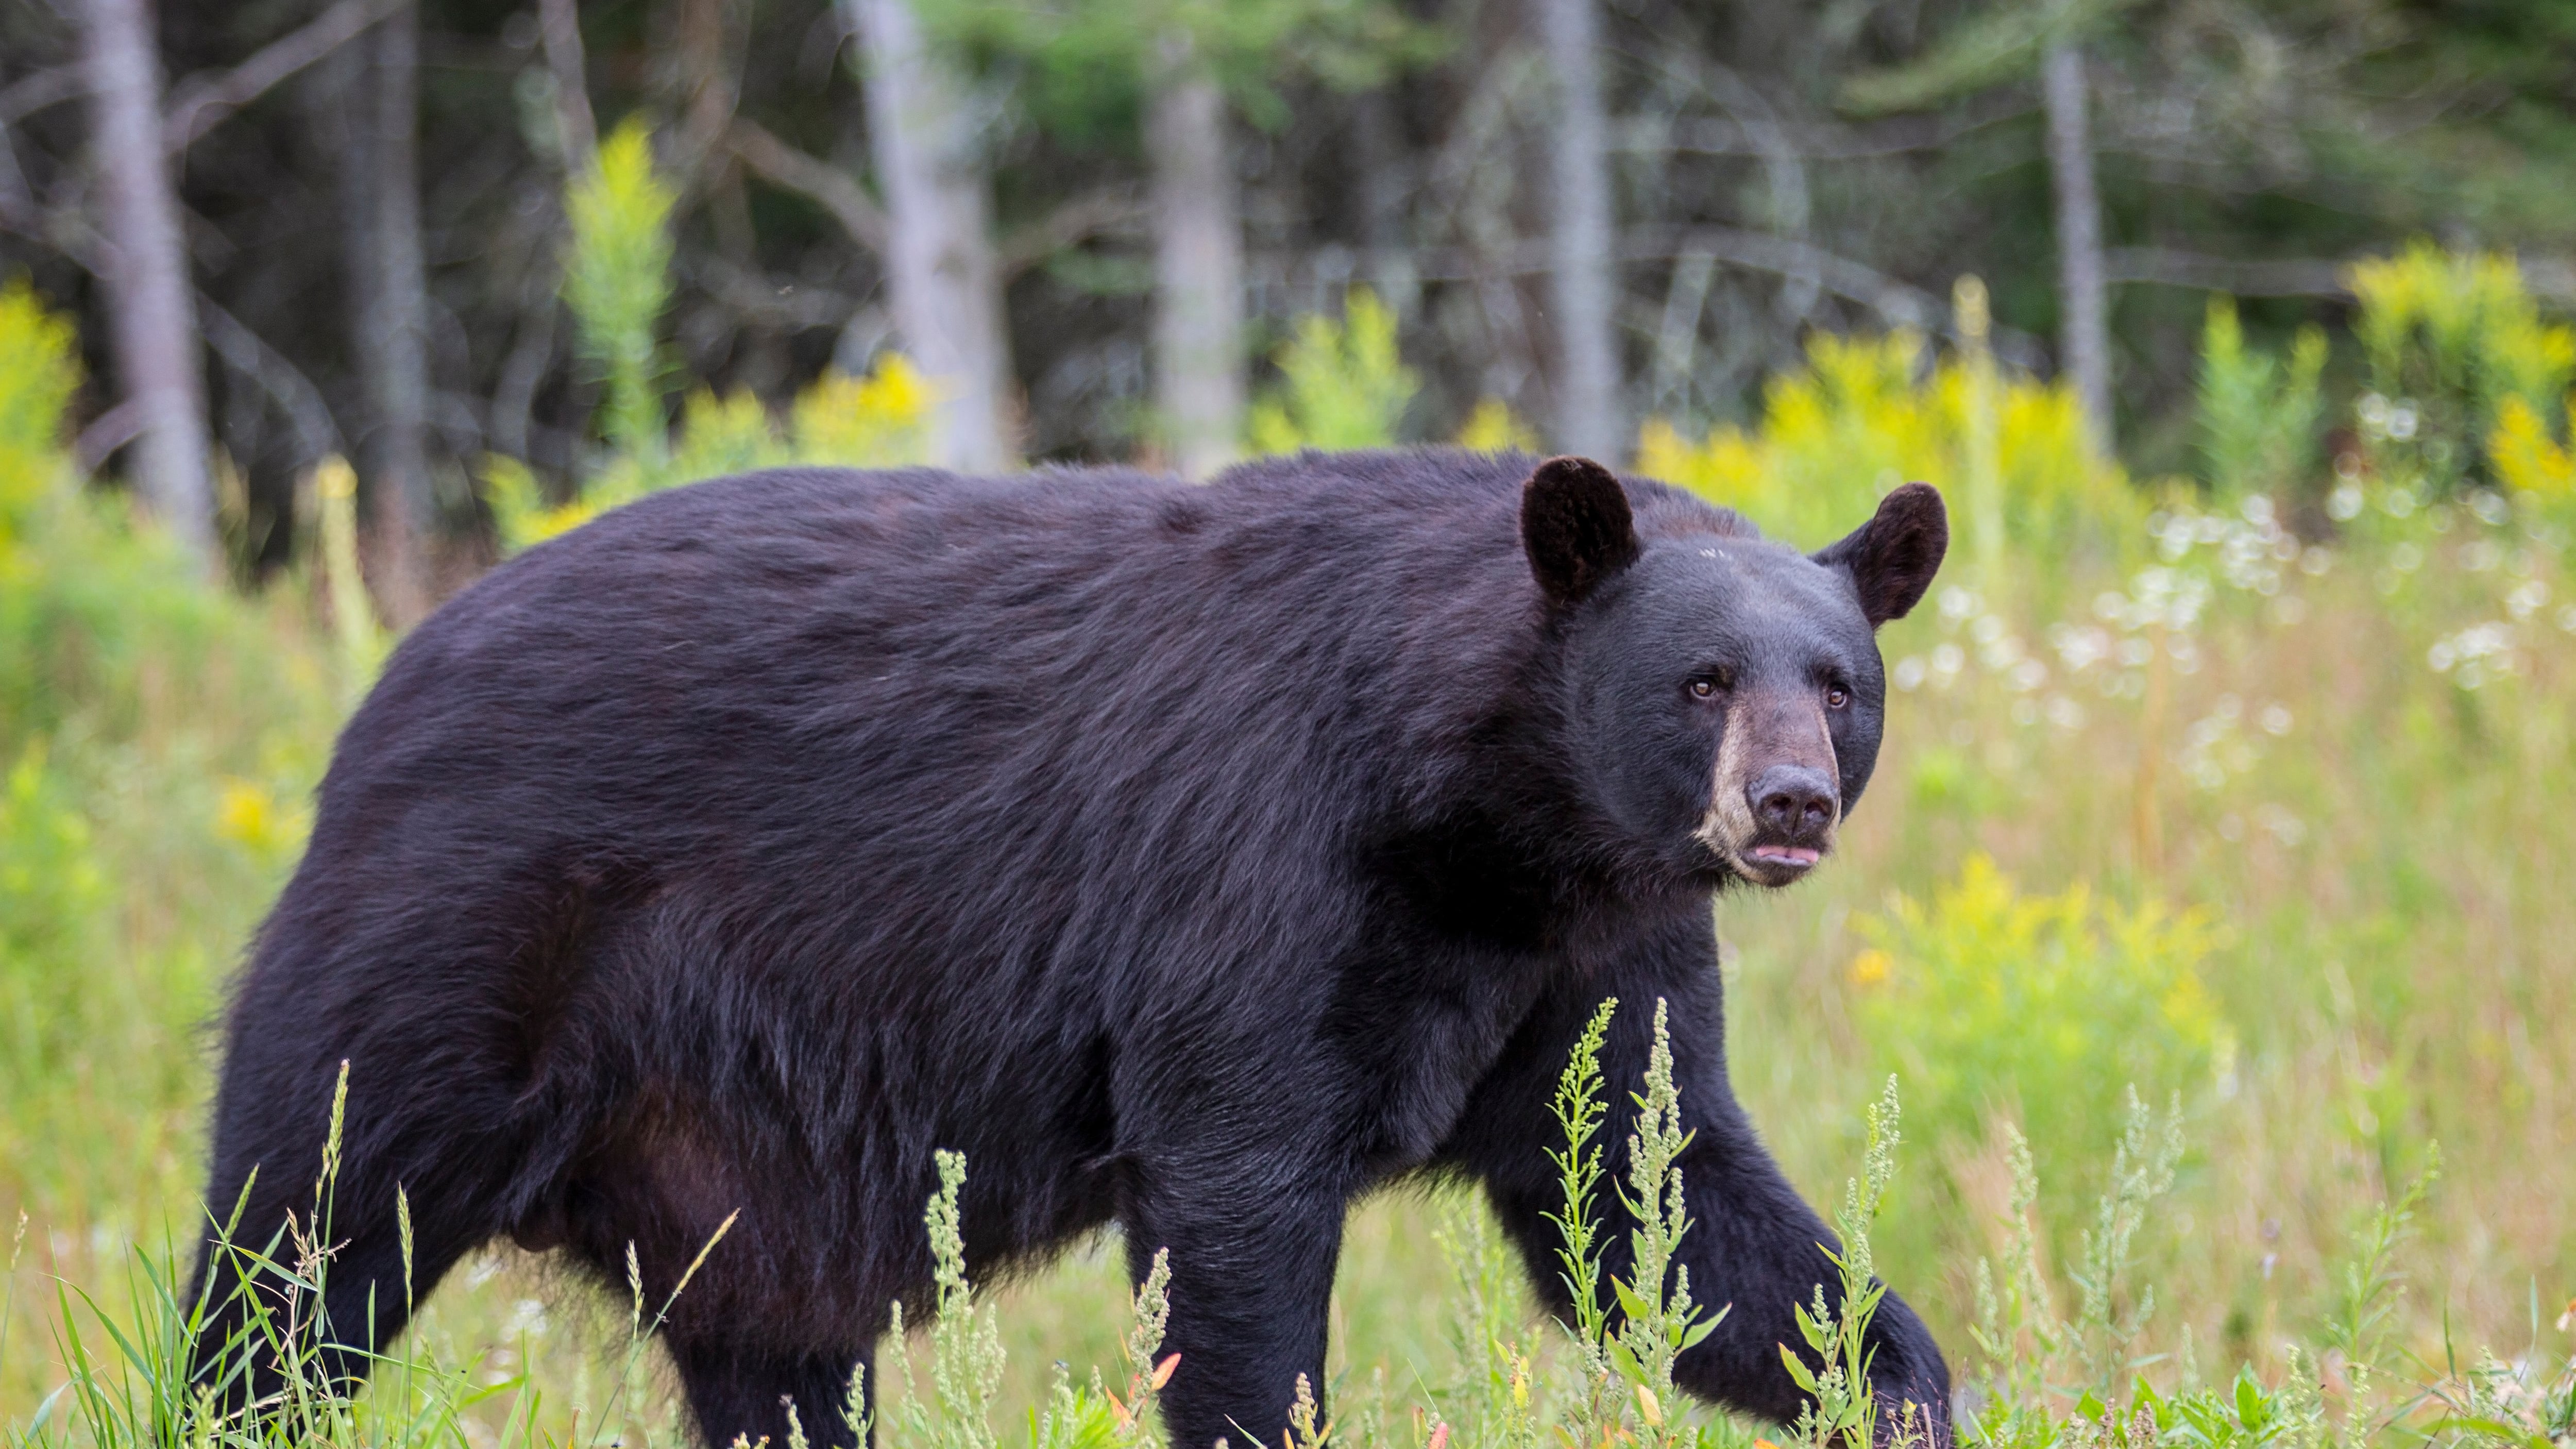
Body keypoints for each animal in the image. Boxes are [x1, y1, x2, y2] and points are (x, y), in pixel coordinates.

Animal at [187, 449, 1952, 1449]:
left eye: (1837, 681)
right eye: (1700, 679)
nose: (1789, 802)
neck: (1491, 827)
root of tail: (378, 694)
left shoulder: (1595, 955)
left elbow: (1656, 1197)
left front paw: (1897, 1387)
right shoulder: (1250, 873)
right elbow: (1235, 1200)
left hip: (728, 1172)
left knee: (778, 1368)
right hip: (437, 967)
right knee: (289, 1258)